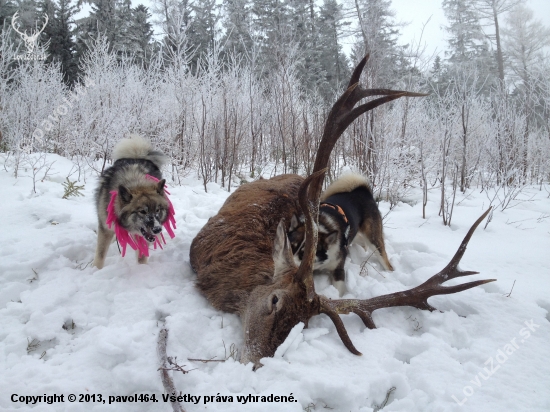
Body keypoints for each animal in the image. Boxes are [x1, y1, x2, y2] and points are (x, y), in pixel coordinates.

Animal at [94, 136, 170, 270]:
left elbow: (141, 257)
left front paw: (142, 269)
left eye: (157, 210)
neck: (135, 183)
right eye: (142, 211)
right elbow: (100, 254)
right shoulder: (105, 229)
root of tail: (137, 155)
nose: (157, 229)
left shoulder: (142, 236)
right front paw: (95, 270)